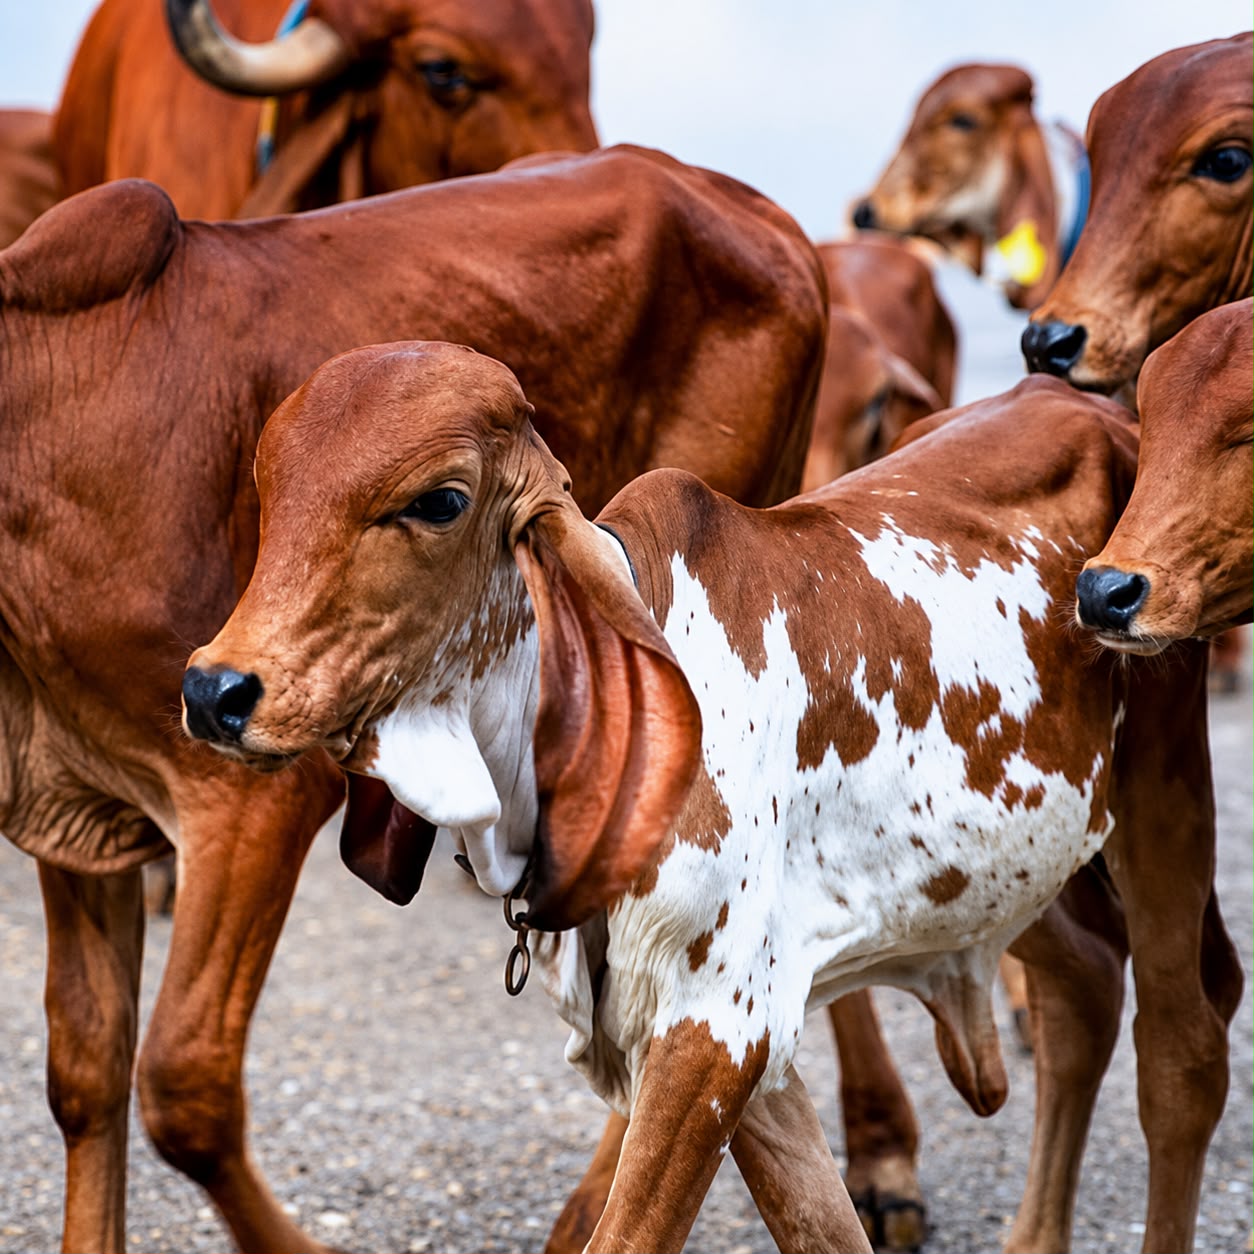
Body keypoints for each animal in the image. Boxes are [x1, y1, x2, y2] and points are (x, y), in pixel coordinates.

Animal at [0, 144, 826, 1254]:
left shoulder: (256, 794)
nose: (214, 692)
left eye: (439, 501)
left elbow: (183, 1084)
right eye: (265, 489)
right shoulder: (80, 802)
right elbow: (85, 1072)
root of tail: (763, 217)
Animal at [184, 349, 1240, 1254]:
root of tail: (1091, 409)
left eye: (439, 501)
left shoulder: (716, 1028)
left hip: (1163, 788)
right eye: (270, 488)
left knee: (1182, 1051)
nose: (217, 689)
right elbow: (823, 1228)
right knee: (1085, 984)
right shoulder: (748, 1047)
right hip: (1001, 871)